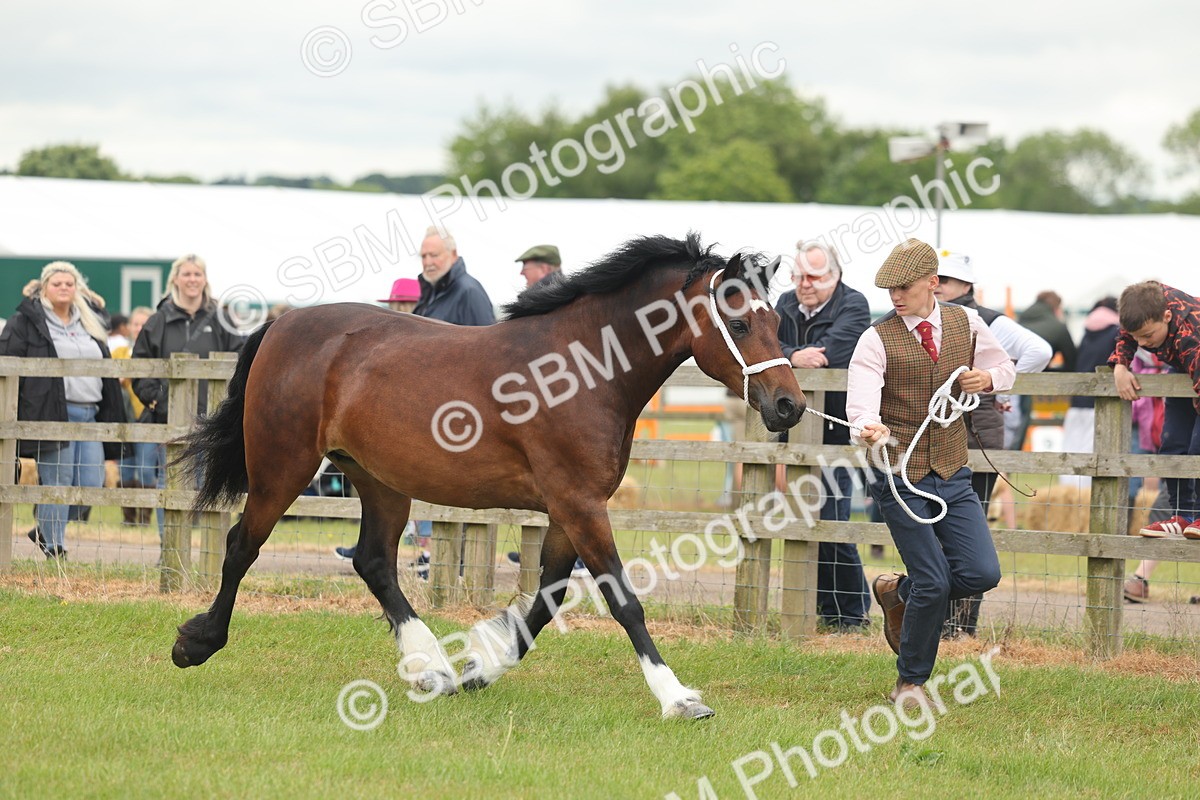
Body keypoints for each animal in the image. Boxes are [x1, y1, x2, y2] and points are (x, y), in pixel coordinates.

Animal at [173, 233, 806, 720]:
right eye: (740, 322)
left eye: (778, 319)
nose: (790, 407)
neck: (583, 369)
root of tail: (282, 324)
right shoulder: (579, 503)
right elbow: (622, 600)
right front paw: (679, 699)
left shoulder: (569, 508)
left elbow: (547, 598)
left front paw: (479, 668)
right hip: (282, 466)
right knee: (242, 545)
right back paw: (198, 643)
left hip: (380, 481)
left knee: (373, 562)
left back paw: (432, 669)